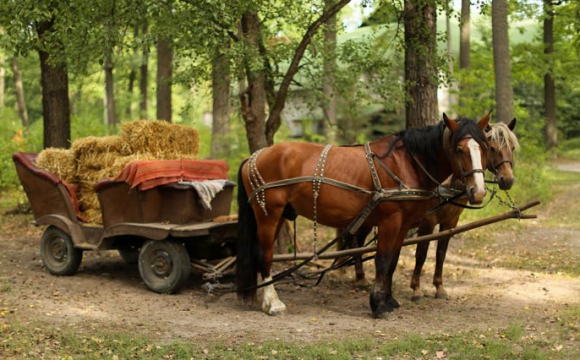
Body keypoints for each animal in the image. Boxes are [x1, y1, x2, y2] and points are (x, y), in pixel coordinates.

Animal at [236, 113, 490, 318]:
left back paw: (263, 299)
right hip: (269, 214)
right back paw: (274, 303)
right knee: (265, 255)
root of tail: (253, 156)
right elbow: (383, 260)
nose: (477, 191)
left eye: (484, 148)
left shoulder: (403, 224)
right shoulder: (390, 221)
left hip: (278, 216)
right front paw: (378, 305)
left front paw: (389, 300)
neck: (406, 163)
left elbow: (393, 261)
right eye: (459, 149)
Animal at [338, 118, 520, 296]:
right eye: (492, 148)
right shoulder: (428, 221)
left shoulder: (450, 222)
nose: (508, 179)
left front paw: (439, 286)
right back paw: (359, 276)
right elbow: (422, 253)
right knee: (356, 241)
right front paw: (416, 288)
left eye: (511, 147)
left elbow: (441, 253)